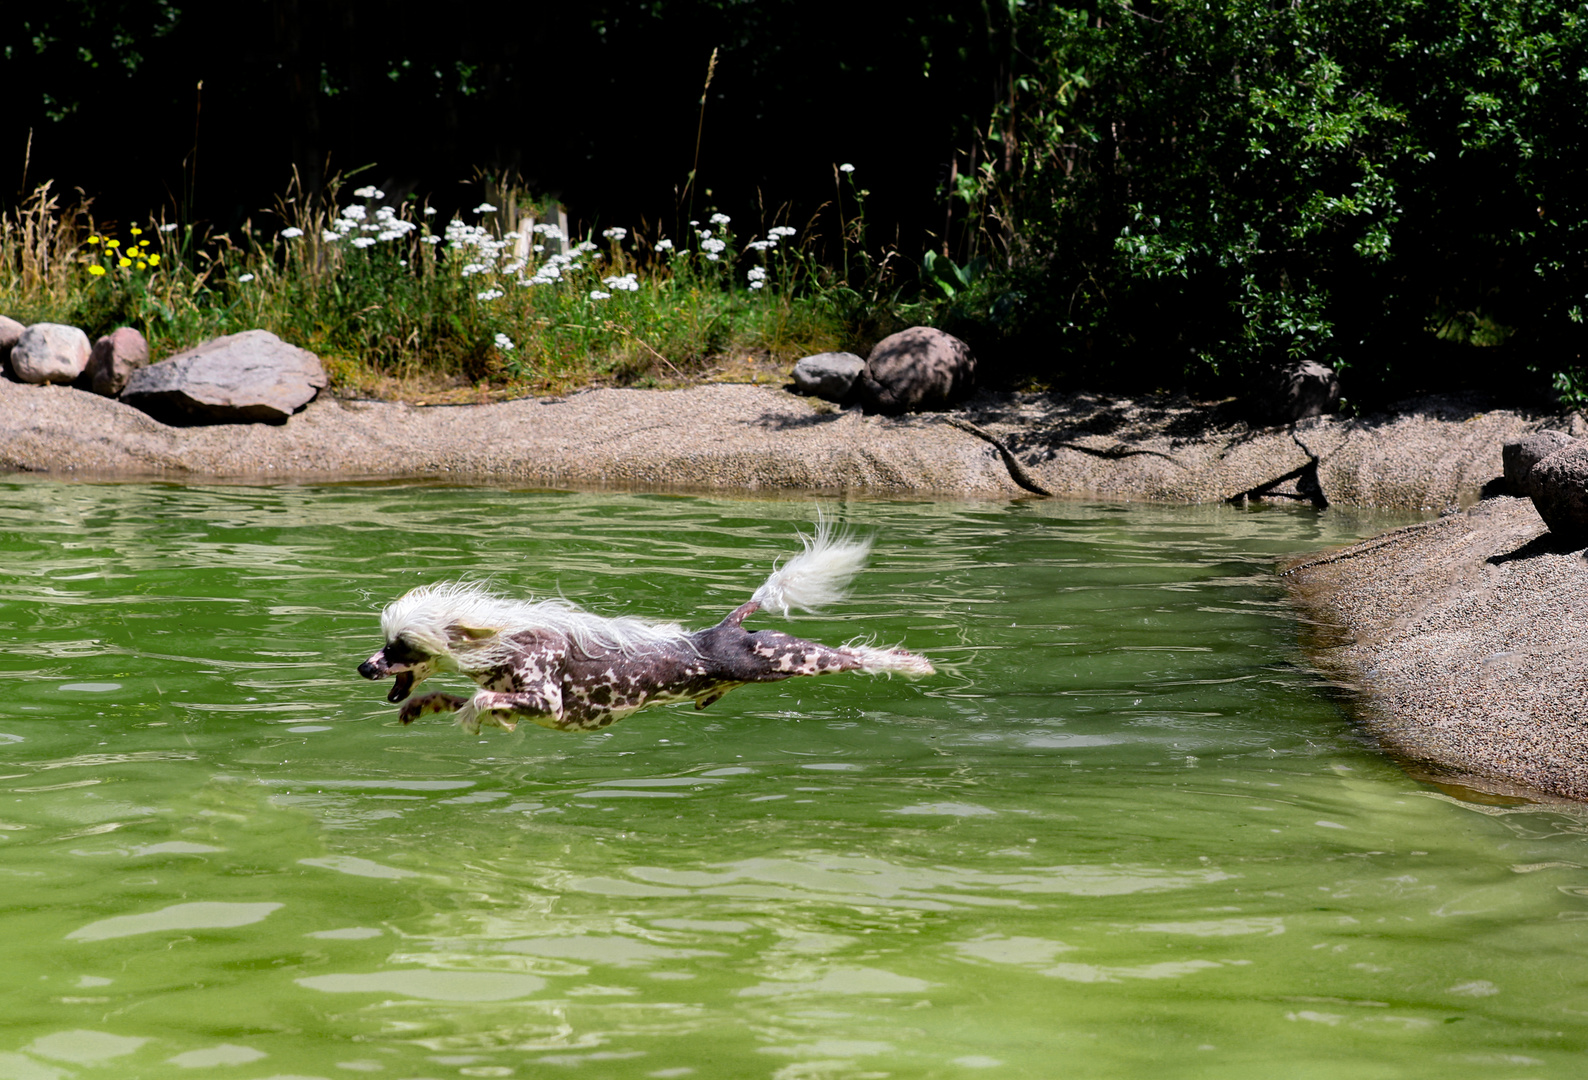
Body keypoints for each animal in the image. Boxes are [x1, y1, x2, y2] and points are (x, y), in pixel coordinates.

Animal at [357, 524, 927, 733]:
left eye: (399, 645)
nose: (364, 666)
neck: (504, 644)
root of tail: (729, 624)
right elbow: (463, 697)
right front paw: (422, 707)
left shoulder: (548, 703)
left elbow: (479, 701)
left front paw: (472, 715)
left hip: (787, 658)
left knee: (856, 655)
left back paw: (914, 664)